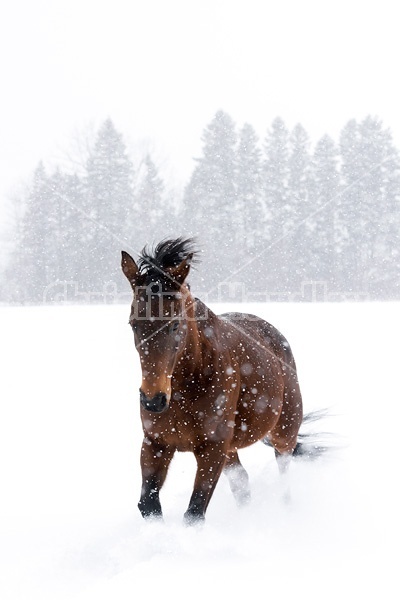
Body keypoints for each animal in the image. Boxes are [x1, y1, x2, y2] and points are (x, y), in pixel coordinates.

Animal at [122, 237, 304, 524]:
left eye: (175, 325)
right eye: (133, 324)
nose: (153, 400)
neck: (185, 388)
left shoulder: (212, 449)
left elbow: (194, 512)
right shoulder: (156, 443)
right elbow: (148, 504)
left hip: (284, 433)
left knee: (284, 472)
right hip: (231, 450)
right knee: (242, 483)